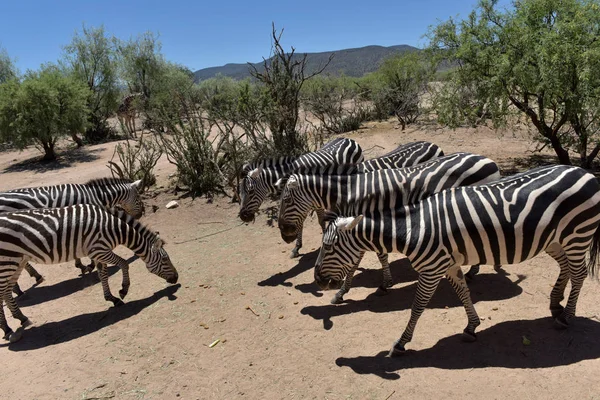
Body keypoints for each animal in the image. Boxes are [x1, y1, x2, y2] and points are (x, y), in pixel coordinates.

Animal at [0, 177, 145, 296]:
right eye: (138, 197)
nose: (140, 215)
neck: (96, 195)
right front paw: (90, 265)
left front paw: (81, 264)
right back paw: (19, 287)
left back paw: (25, 283)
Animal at [0, 205, 178, 342]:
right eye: (165, 259)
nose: (177, 278)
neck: (116, 228)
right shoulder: (100, 249)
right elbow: (124, 263)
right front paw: (123, 290)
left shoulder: (98, 253)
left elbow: (103, 274)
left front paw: (111, 298)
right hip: (8, 261)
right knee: (2, 292)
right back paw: (7, 329)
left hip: (18, 261)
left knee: (7, 291)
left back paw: (21, 318)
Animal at [278, 152, 500, 304]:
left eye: (287, 200)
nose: (285, 235)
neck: (349, 191)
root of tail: (487, 159)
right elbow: (376, 256)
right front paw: (381, 283)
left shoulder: (361, 225)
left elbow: (361, 259)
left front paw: (344, 291)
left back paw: (473, 271)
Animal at [312, 164, 600, 354]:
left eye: (329, 246)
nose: (318, 281)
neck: (414, 229)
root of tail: (584, 171)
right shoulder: (449, 264)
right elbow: (463, 294)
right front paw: (472, 327)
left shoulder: (432, 269)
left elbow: (417, 306)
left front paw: (401, 343)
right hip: (554, 239)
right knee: (565, 267)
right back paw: (555, 304)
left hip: (578, 233)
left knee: (578, 274)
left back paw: (567, 316)